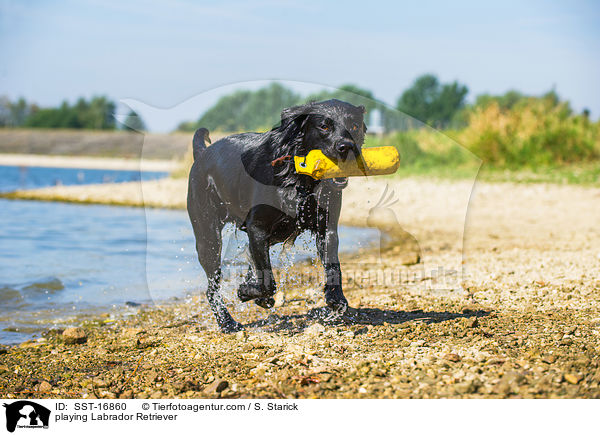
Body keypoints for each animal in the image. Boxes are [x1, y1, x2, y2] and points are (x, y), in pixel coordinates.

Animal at [188, 99, 366, 332]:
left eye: (354, 125)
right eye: (324, 126)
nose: (347, 147)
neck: (297, 176)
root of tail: (202, 154)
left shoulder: (326, 229)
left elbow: (333, 266)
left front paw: (336, 299)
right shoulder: (257, 228)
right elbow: (267, 281)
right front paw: (245, 292)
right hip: (208, 236)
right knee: (212, 288)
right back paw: (227, 322)